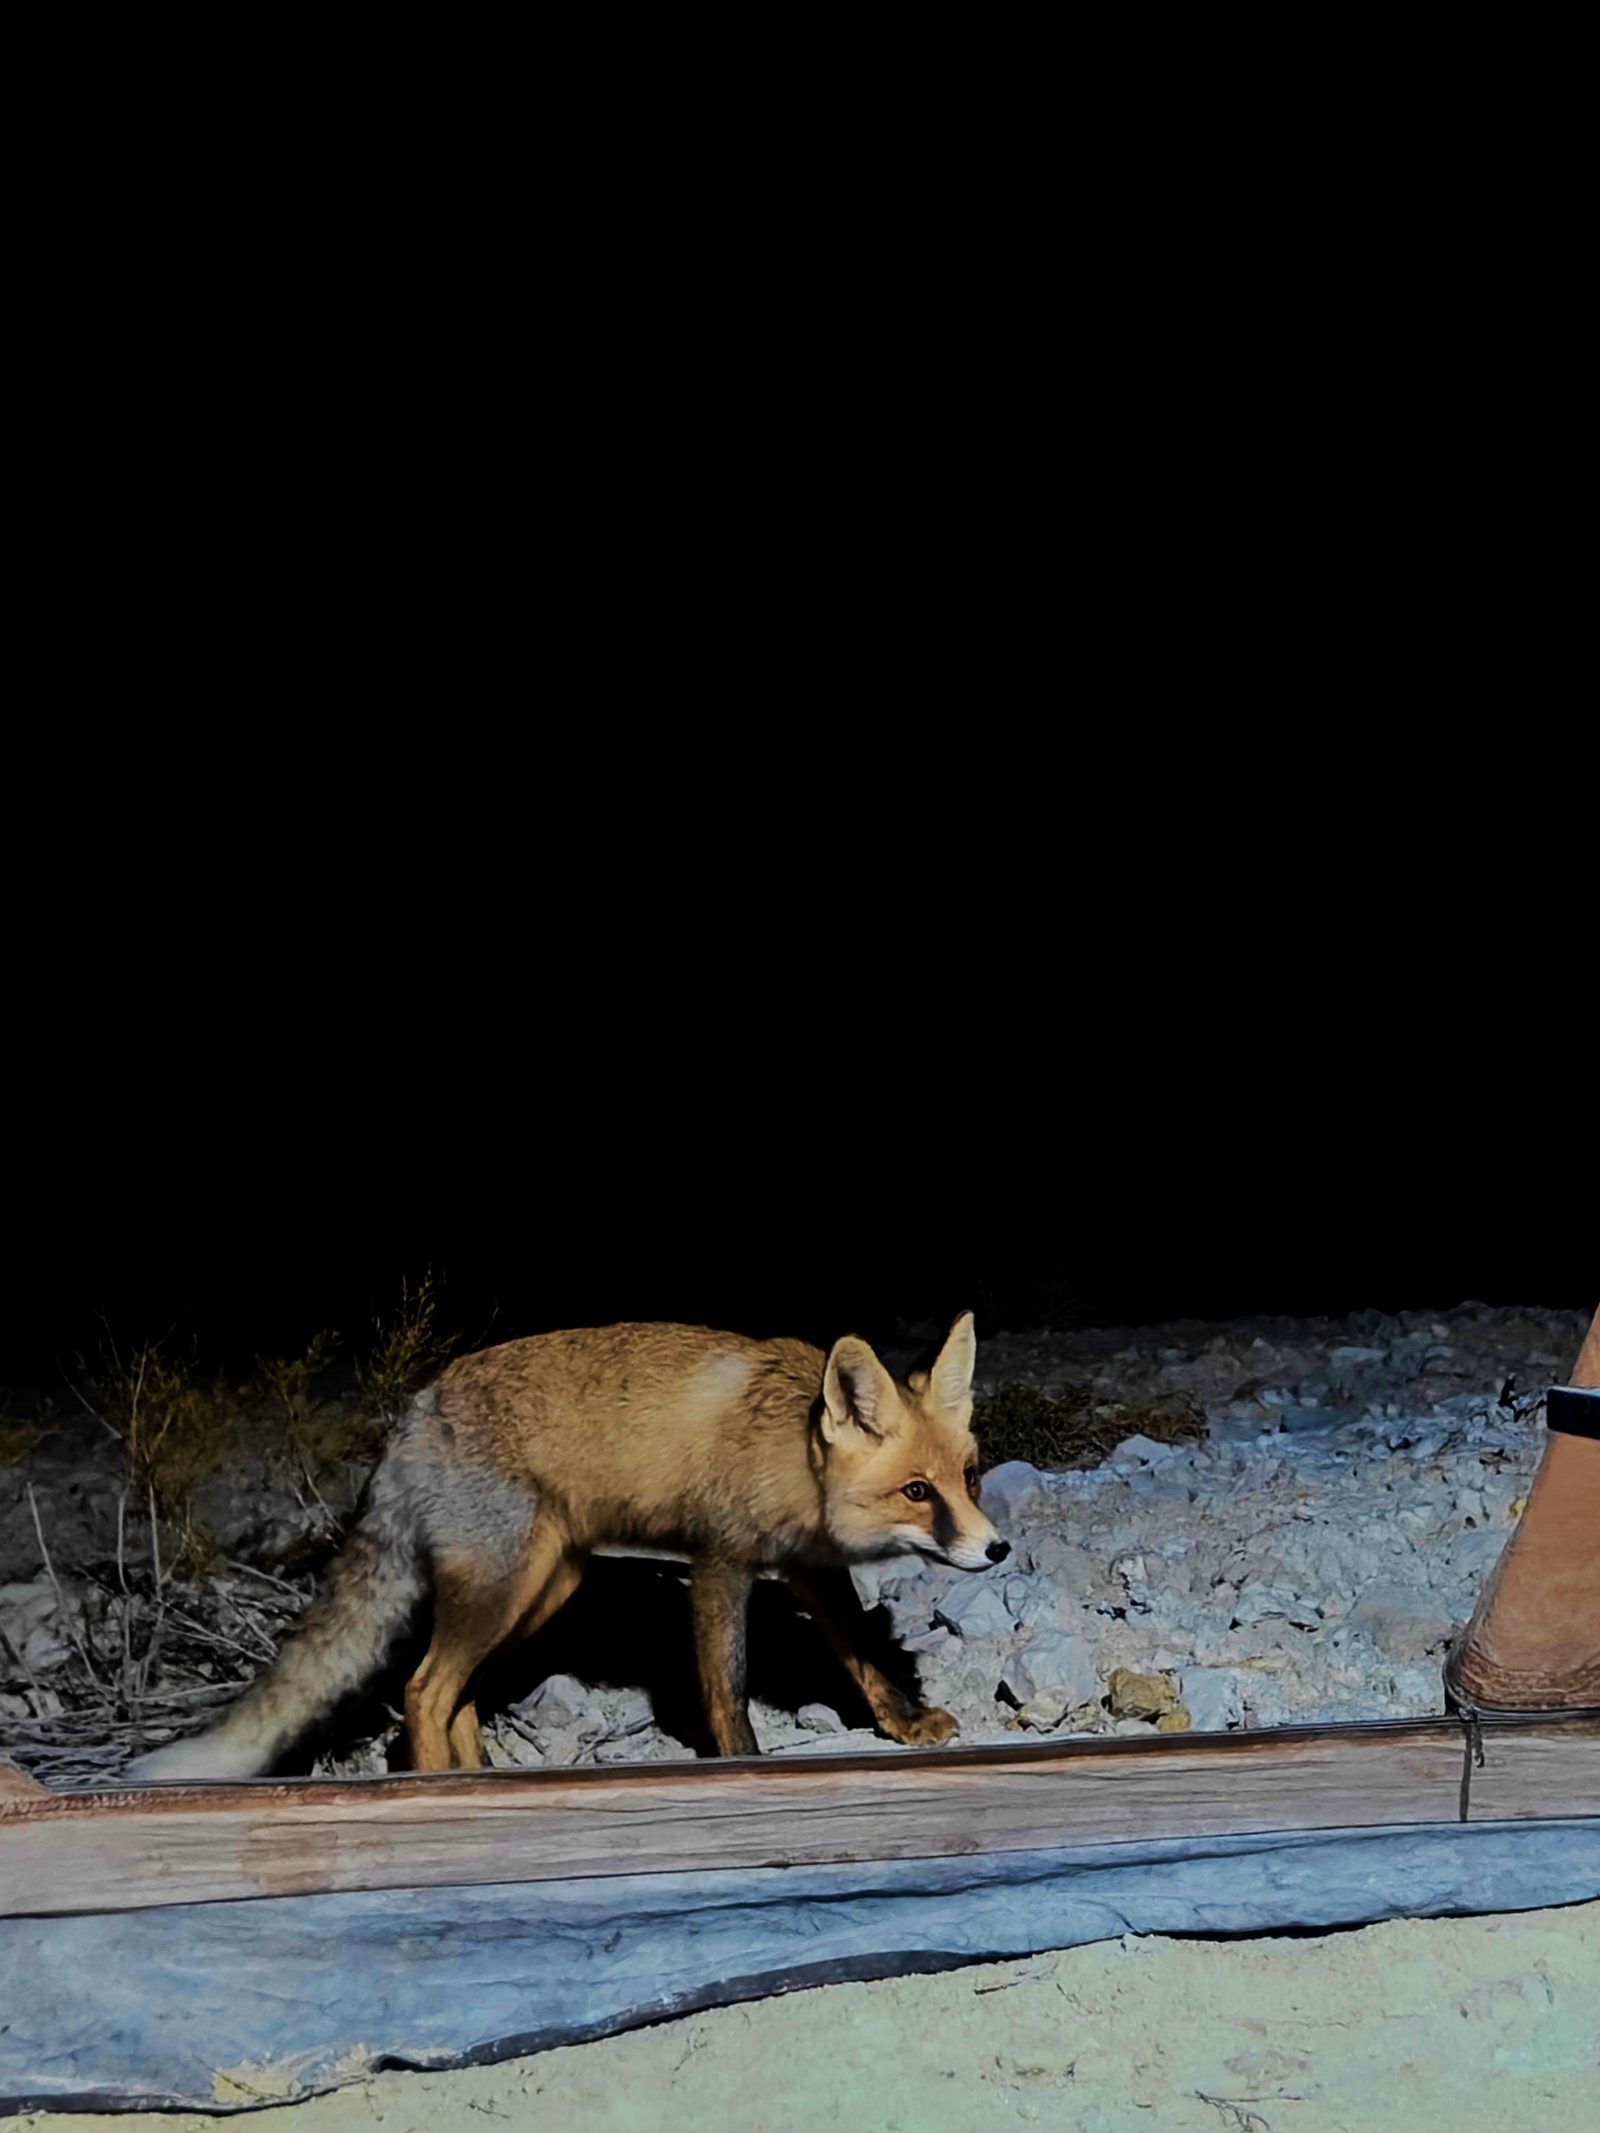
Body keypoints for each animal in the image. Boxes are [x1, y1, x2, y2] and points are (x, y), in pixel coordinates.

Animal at [127, 1310, 1008, 1779]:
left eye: (968, 1476)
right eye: (917, 1491)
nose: (997, 1551)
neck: (789, 1447)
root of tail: (412, 1412)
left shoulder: (806, 1567)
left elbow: (862, 1655)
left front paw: (906, 1722)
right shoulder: (720, 1558)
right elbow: (726, 1685)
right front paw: (743, 1758)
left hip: (543, 1587)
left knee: (456, 1694)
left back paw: (478, 1778)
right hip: (503, 1586)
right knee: (422, 1688)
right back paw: (441, 1788)